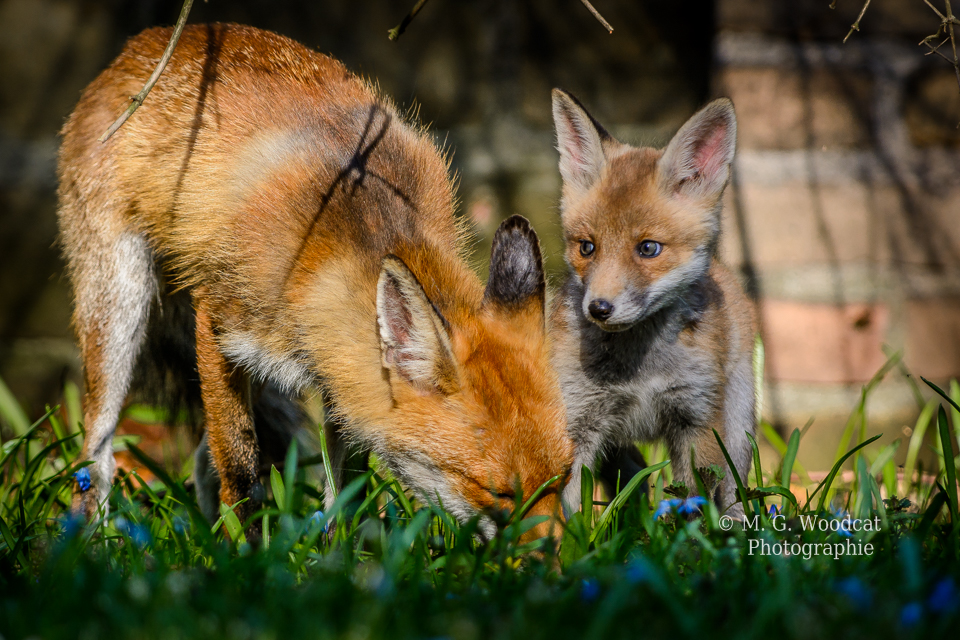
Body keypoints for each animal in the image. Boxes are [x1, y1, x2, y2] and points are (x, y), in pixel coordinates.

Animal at [56, 26, 572, 544]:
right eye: (499, 493)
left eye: (564, 478)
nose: (554, 560)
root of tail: (143, 43)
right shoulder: (218, 325)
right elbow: (241, 470)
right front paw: (246, 553)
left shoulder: (343, 369)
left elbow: (343, 489)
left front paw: (334, 552)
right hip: (119, 305)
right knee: (97, 459)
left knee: (201, 462)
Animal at [548, 90, 756, 516]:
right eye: (586, 247)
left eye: (648, 248)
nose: (598, 309)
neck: (640, 371)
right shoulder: (578, 421)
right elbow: (567, 514)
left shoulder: (697, 418)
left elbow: (695, 504)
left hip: (737, 430)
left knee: (732, 494)